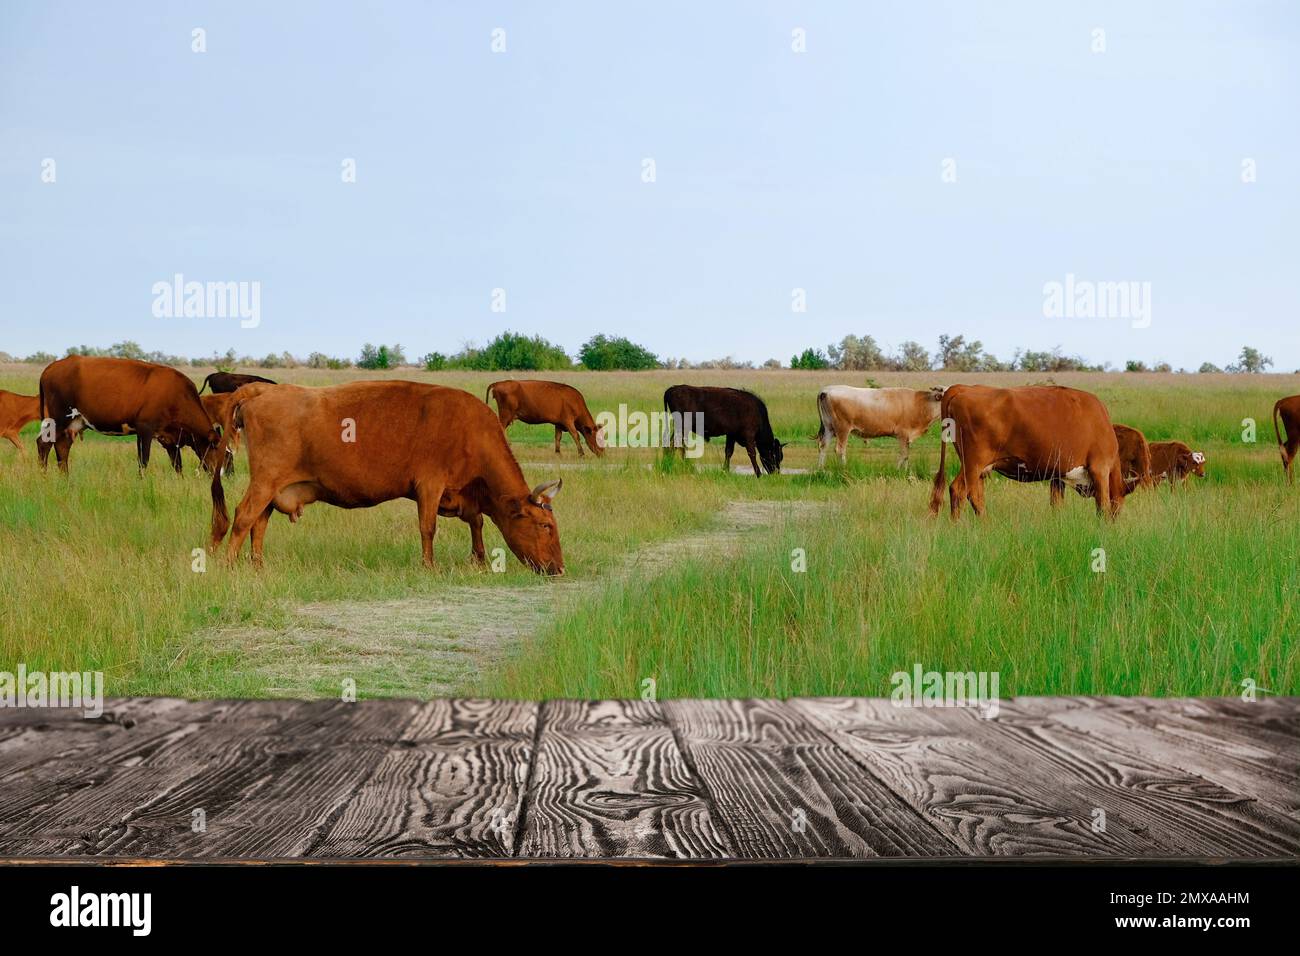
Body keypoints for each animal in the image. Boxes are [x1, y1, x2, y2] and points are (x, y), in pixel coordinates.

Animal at [37, 353, 226, 473]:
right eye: (220, 450)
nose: (221, 474)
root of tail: (53, 366)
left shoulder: (170, 438)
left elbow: (177, 465)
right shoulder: (145, 429)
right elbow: (144, 461)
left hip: (75, 422)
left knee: (62, 447)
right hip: (58, 419)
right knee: (44, 443)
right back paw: (44, 477)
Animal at [208, 382, 564, 574]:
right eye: (545, 526)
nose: (559, 569)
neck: (471, 430)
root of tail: (263, 390)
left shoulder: (464, 495)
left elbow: (476, 522)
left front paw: (477, 558)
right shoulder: (430, 486)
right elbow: (428, 527)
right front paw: (429, 566)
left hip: (272, 488)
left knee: (259, 523)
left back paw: (258, 566)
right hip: (264, 482)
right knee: (244, 517)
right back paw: (229, 566)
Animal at [925, 385, 1128, 520]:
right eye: (1118, 511)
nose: (1115, 524)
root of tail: (961, 388)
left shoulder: (1057, 475)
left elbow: (1057, 505)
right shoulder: (1100, 468)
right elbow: (1103, 505)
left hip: (978, 467)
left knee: (975, 494)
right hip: (973, 463)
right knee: (958, 490)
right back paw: (957, 525)